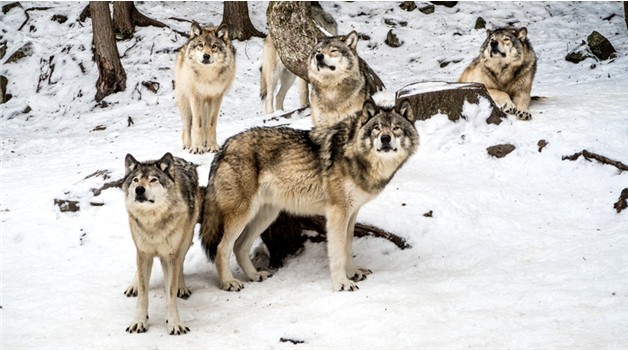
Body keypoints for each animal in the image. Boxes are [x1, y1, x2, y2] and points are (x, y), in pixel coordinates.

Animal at [122, 153, 201, 336]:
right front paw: (139, 322)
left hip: (186, 240)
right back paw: (133, 286)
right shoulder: (144, 252)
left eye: (153, 180)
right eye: (135, 180)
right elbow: (143, 294)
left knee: (180, 264)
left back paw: (181, 287)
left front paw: (175, 324)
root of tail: (179, 159)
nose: (139, 190)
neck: (153, 224)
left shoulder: (170, 256)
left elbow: (170, 295)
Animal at [174, 21, 236, 153]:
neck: (208, 77)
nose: (206, 56)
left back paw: (206, 144)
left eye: (214, 46)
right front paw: (197, 147)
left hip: (207, 103)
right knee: (187, 127)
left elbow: (211, 124)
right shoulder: (195, 97)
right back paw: (188, 144)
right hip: (185, 103)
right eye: (201, 45)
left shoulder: (217, 97)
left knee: (205, 123)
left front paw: (212, 145)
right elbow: (198, 124)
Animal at [199, 98, 420, 292]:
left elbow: (347, 247)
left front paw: (353, 272)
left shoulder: (352, 213)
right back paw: (229, 283)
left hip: (266, 216)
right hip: (243, 215)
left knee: (240, 247)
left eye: (396, 128)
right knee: (222, 248)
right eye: (377, 128)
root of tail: (224, 147)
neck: (354, 153)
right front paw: (342, 283)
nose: (385, 138)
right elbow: (338, 252)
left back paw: (254, 275)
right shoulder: (337, 213)